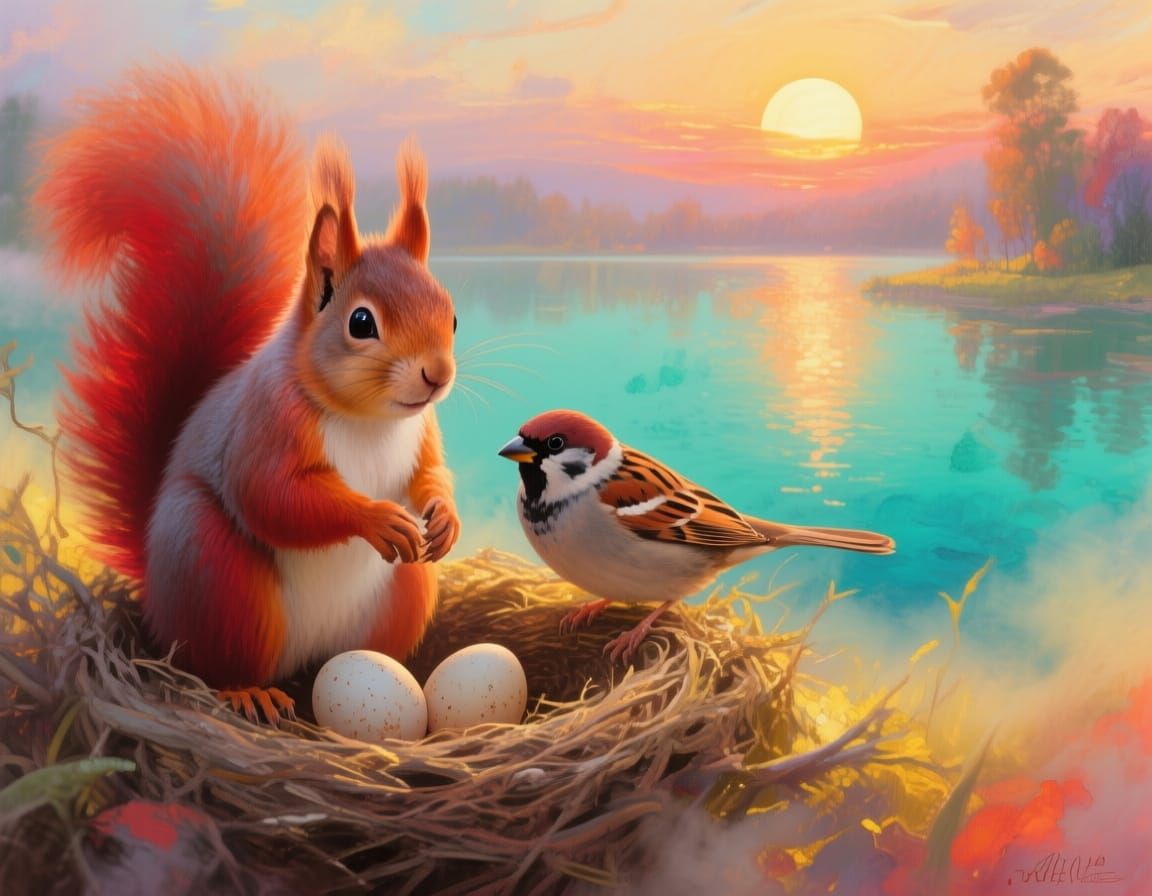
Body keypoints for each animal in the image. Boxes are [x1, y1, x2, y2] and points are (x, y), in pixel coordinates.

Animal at [34, 66, 461, 722]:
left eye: (453, 315)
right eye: (361, 322)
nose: (436, 375)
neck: (368, 420)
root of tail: (155, 596)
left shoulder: (422, 432)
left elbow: (429, 474)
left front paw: (444, 515)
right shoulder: (268, 421)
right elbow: (273, 495)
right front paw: (374, 516)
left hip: (404, 592)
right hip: (217, 573)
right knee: (216, 663)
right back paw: (248, 691)